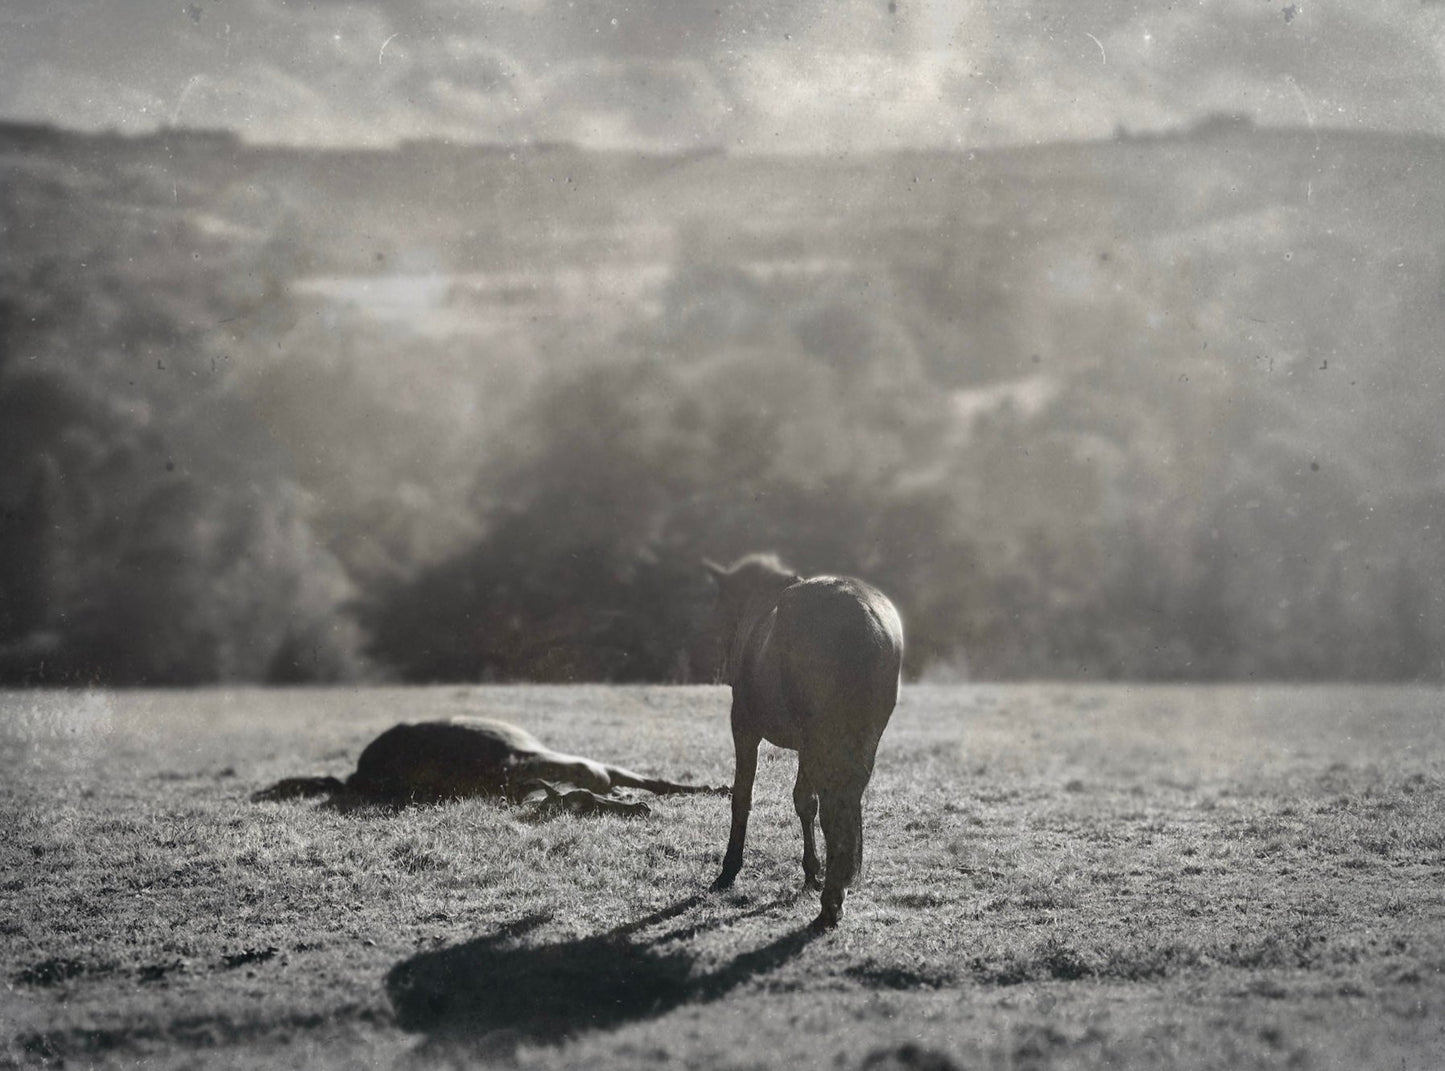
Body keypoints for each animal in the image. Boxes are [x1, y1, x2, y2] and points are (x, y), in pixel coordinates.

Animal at [702, 552, 901, 925]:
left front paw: (729, 869)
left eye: (720, 604)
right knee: (847, 800)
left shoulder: (744, 726)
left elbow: (743, 796)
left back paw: (832, 900)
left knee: (835, 805)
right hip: (855, 739)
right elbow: (804, 802)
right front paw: (811, 872)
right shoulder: (806, 744)